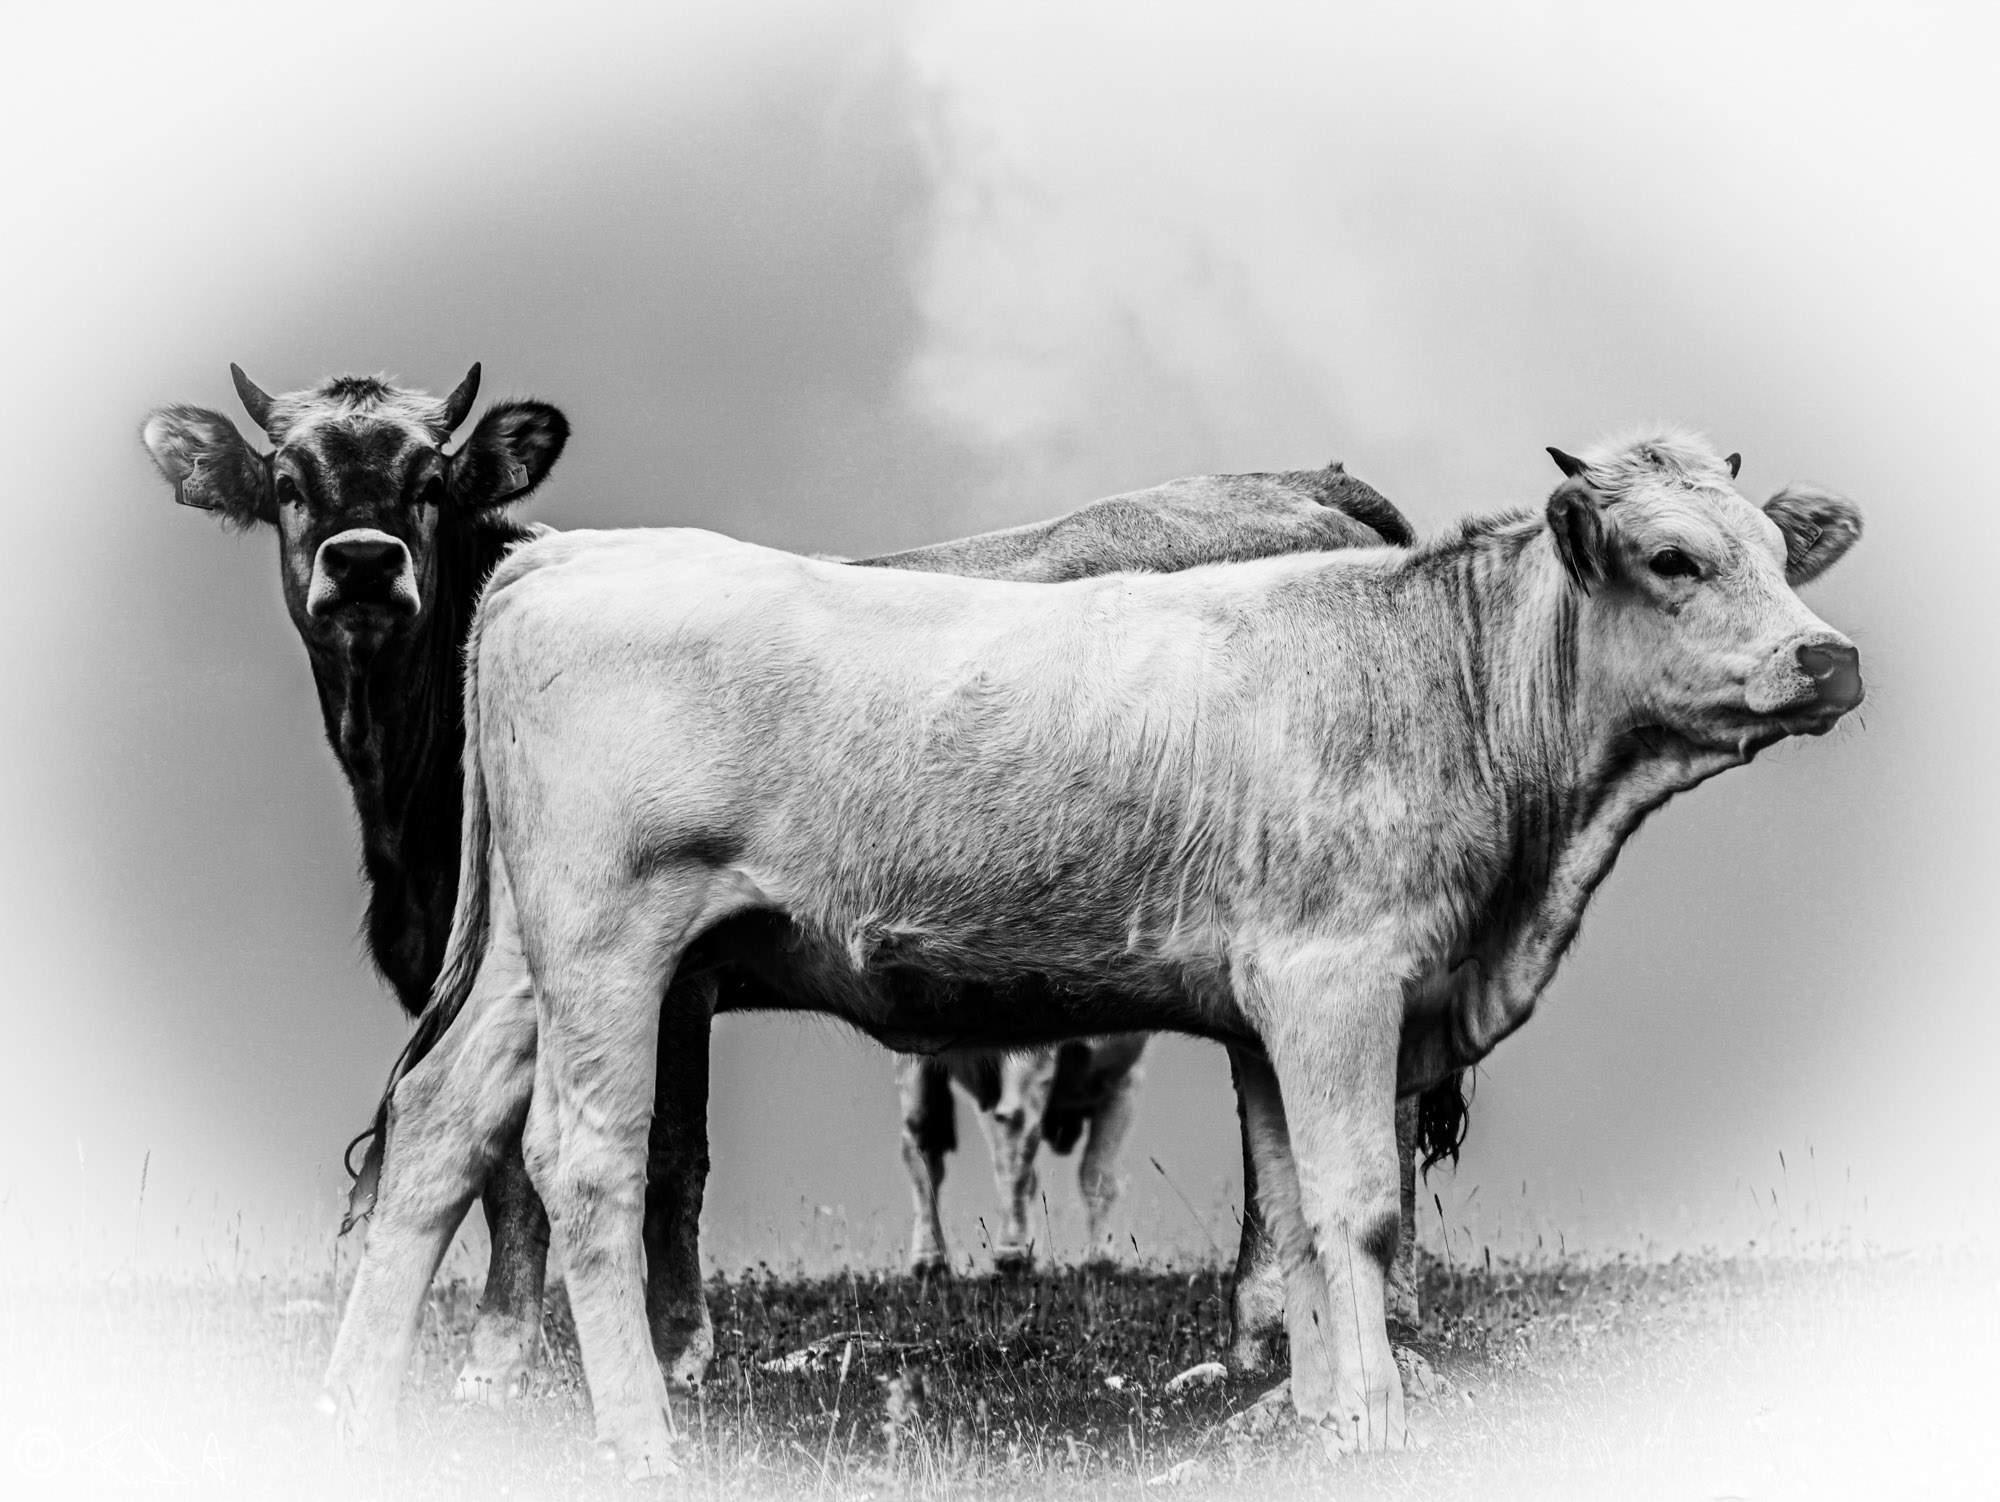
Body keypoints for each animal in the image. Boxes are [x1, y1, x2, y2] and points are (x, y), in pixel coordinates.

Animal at [141, 370, 1431, 1403]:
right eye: (289, 482)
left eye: (429, 480)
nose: (363, 564)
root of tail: (1305, 483)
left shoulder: (666, 977)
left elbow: (657, 1156)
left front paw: (639, 1349)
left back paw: (1335, 1323)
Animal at [320, 429, 1863, 1475]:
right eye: (1674, 558)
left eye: (1779, 551)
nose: (1829, 657)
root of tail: (567, 554)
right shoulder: (1339, 979)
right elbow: (1358, 1202)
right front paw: (1373, 1419)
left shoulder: (1268, 1003)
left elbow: (1286, 1205)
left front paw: (1308, 1410)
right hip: (610, 946)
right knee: (582, 1159)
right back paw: (640, 1436)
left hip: (525, 959)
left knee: (440, 1127)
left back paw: (359, 1402)